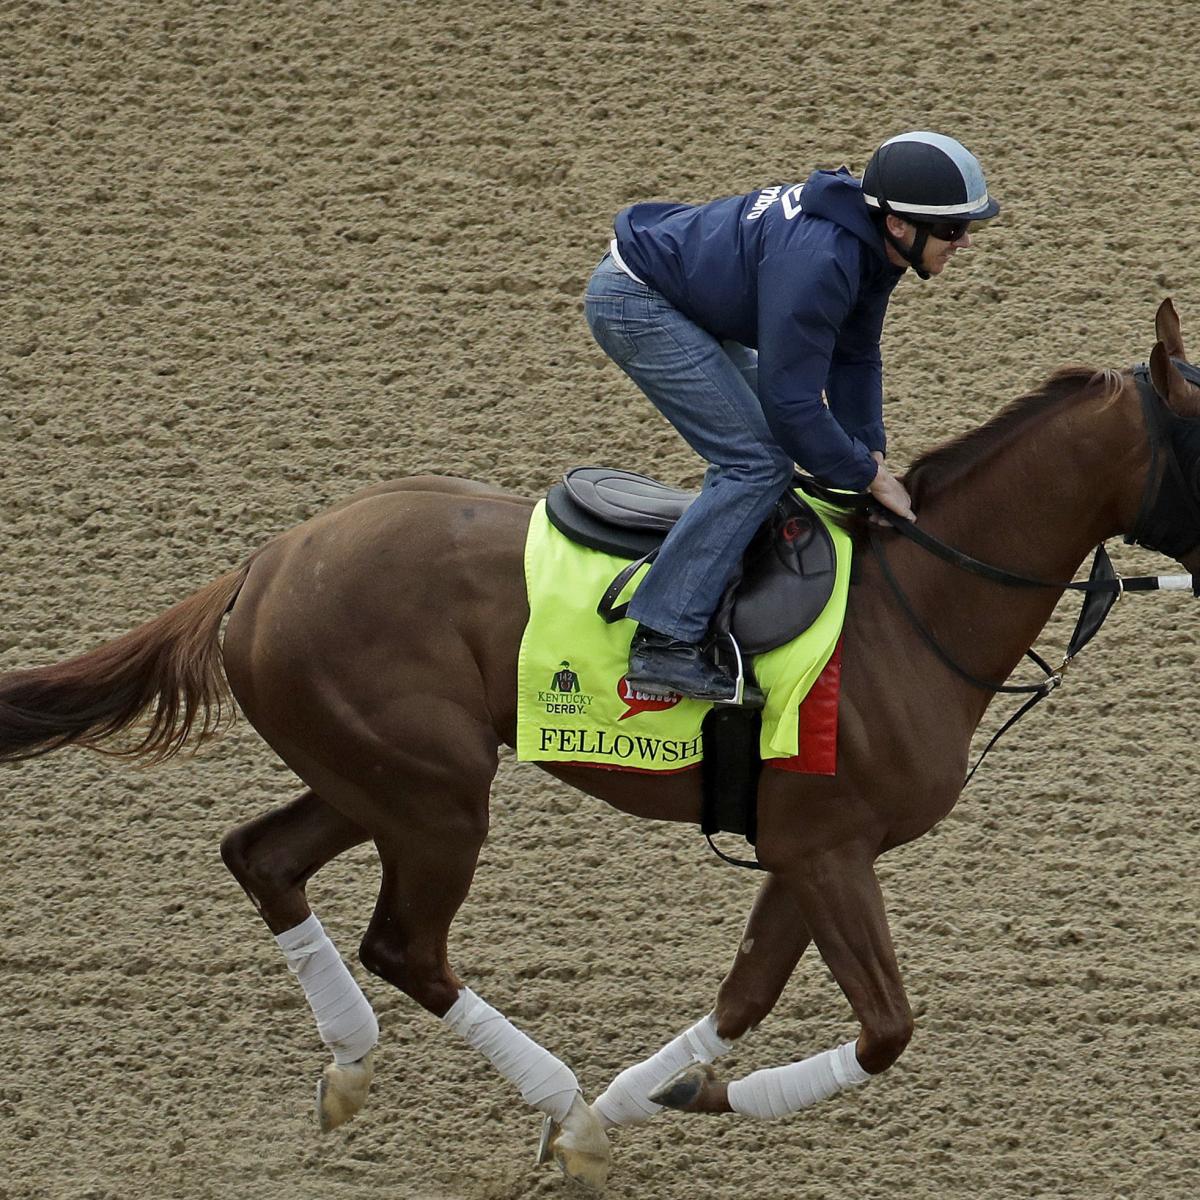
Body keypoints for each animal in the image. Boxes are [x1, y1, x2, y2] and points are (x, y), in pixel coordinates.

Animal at [2, 300, 1200, 1190]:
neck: (915, 608)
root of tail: (264, 563)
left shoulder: (808, 846)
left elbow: (746, 994)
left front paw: (655, 1096)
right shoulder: (828, 851)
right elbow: (886, 1029)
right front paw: (610, 1117)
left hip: (374, 776)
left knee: (263, 858)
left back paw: (351, 1067)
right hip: (437, 795)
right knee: (404, 945)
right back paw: (550, 1098)